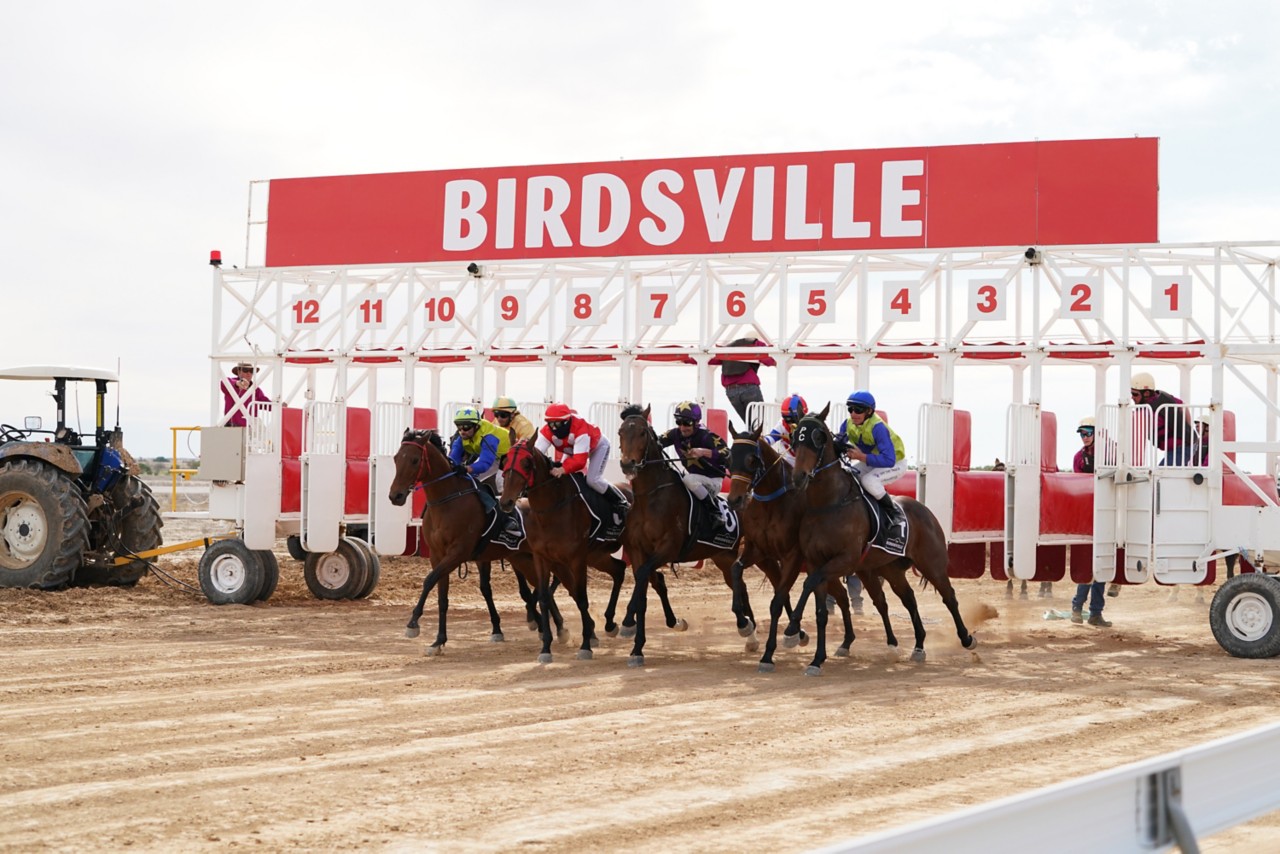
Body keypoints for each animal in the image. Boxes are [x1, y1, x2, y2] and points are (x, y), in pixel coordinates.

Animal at [386, 427, 573, 655]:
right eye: (396, 458)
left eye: (414, 460)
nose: (395, 496)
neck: (447, 501)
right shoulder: (437, 555)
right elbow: (442, 598)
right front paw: (438, 641)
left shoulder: (458, 553)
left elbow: (429, 580)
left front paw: (413, 623)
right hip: (523, 558)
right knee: (541, 586)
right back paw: (559, 629)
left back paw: (557, 628)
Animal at [496, 437, 686, 665]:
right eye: (505, 461)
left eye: (526, 464)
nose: (506, 501)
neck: (552, 508)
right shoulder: (542, 558)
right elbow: (546, 597)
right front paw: (546, 647)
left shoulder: (576, 558)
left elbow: (581, 598)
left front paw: (586, 644)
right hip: (599, 555)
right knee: (626, 571)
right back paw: (630, 622)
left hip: (633, 548)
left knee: (648, 577)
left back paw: (631, 622)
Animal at [614, 407, 752, 665]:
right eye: (620, 432)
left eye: (642, 432)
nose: (628, 464)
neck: (650, 497)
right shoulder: (637, 550)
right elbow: (642, 588)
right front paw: (637, 648)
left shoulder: (668, 548)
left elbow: (644, 576)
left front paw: (627, 623)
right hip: (722, 556)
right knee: (740, 585)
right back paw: (751, 634)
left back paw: (747, 627)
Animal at [783, 409, 972, 676]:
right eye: (795, 437)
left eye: (818, 438)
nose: (799, 477)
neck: (828, 504)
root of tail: (925, 510)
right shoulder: (815, 561)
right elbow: (820, 610)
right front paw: (816, 659)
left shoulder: (844, 559)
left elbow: (809, 584)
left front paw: (791, 630)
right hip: (887, 568)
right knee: (907, 598)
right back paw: (918, 646)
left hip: (932, 564)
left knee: (949, 596)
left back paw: (966, 638)